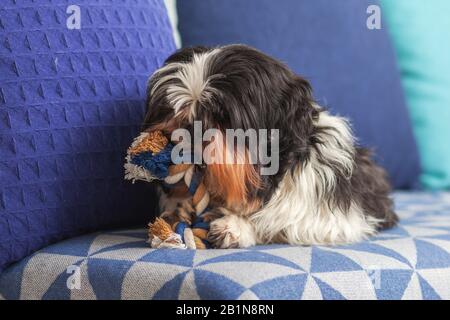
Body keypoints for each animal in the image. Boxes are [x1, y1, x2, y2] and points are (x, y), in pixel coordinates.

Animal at [142, 43, 398, 249]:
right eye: (172, 110)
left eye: (222, 115)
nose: (188, 127)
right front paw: (179, 209)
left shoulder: (339, 217)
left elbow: (283, 221)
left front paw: (236, 227)